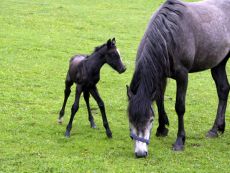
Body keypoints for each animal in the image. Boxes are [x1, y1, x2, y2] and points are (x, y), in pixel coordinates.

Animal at [126, 0, 229, 157]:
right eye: (130, 119)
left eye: (150, 120)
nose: (141, 153)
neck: (168, 35)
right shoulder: (161, 75)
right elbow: (159, 100)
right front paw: (162, 129)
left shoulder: (182, 75)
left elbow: (180, 107)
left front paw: (180, 141)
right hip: (218, 63)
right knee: (223, 90)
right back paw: (216, 129)